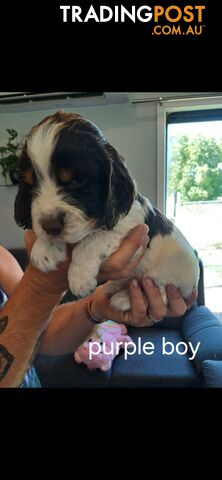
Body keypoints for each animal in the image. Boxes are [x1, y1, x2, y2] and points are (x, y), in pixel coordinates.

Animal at [14, 111, 200, 316]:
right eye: (30, 184)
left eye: (76, 181)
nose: (50, 226)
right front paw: (44, 249)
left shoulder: (129, 224)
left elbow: (91, 240)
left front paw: (79, 277)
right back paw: (114, 286)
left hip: (168, 278)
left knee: (161, 292)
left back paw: (123, 298)